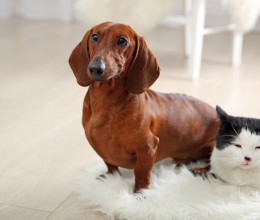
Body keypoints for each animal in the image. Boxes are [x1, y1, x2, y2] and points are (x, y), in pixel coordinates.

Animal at [69, 21, 219, 192]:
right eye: (94, 37)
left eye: (122, 41)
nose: (95, 68)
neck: (106, 102)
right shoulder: (101, 148)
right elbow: (110, 165)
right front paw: (108, 178)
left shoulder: (148, 148)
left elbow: (141, 173)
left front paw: (139, 192)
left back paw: (201, 170)